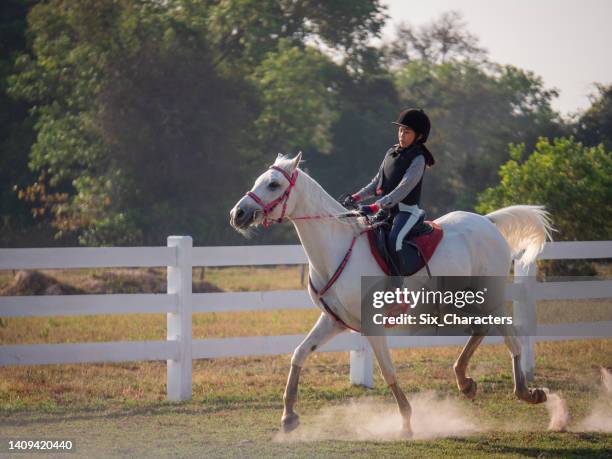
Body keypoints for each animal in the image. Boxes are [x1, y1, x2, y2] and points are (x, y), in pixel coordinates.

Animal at [230, 153, 556, 436]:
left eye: (274, 184)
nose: (238, 214)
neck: (338, 248)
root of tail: (486, 222)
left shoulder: (372, 325)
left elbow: (388, 371)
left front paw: (407, 423)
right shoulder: (332, 321)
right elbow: (299, 354)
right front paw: (288, 417)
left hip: (490, 297)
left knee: (511, 338)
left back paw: (527, 392)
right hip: (461, 302)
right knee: (482, 329)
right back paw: (465, 382)